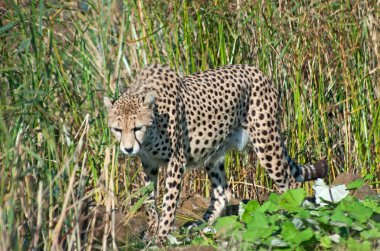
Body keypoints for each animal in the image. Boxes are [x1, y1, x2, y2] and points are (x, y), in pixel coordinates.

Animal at [103, 64, 326, 243]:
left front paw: (162, 237)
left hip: (266, 142)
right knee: (222, 195)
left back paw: (288, 220)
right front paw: (151, 232)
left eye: (137, 128)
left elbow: (169, 203)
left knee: (290, 183)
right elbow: (148, 201)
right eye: (117, 129)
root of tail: (256, 70)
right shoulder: (148, 164)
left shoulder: (176, 161)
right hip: (214, 153)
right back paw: (199, 227)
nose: (128, 149)